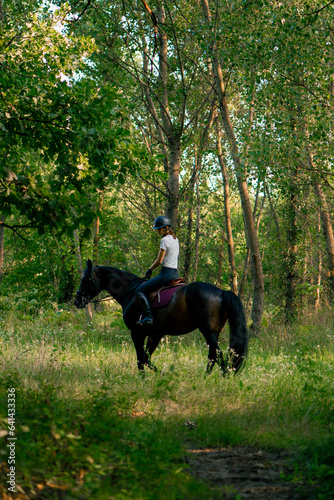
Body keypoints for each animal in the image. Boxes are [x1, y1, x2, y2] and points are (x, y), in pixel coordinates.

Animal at [75, 260, 248, 374]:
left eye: (85, 279)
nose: (77, 301)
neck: (130, 293)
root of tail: (221, 291)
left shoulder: (136, 333)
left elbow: (140, 360)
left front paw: (144, 381)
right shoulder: (155, 334)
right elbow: (146, 358)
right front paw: (161, 375)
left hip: (208, 331)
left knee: (216, 354)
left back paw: (223, 376)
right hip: (213, 332)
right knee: (213, 355)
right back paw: (207, 378)